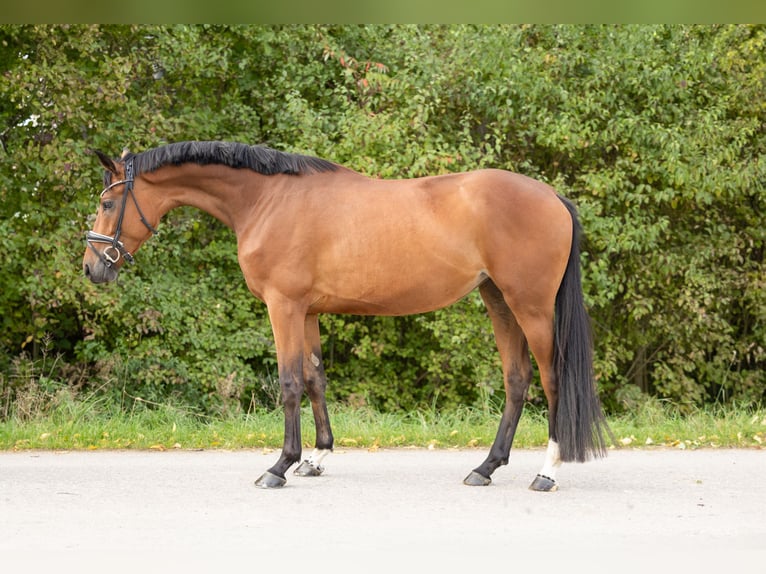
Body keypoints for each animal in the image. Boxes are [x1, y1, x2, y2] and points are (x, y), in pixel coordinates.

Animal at [82, 140, 612, 490]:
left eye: (108, 202)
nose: (92, 267)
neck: (267, 201)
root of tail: (553, 197)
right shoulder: (308, 311)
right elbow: (315, 377)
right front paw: (316, 458)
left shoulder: (283, 306)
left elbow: (289, 381)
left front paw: (279, 466)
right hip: (498, 300)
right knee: (517, 380)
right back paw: (485, 468)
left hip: (531, 307)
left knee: (552, 379)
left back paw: (547, 472)